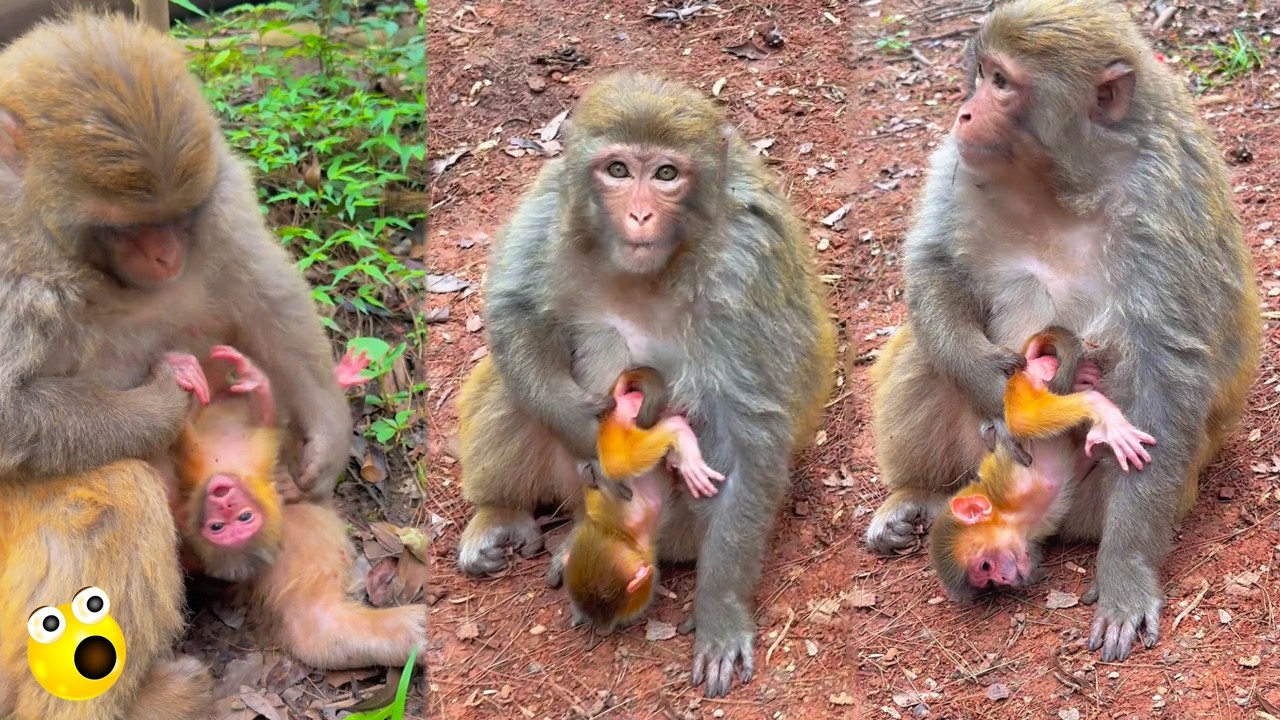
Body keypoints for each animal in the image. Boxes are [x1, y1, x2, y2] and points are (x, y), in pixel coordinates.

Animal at [0, 13, 354, 719]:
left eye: (176, 218)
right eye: (122, 228)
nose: (166, 256)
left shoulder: (219, 197)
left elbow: (263, 289)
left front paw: (329, 432)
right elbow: (7, 408)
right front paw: (165, 398)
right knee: (114, 493)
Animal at [453, 72, 837, 697]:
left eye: (665, 175)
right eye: (617, 170)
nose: (637, 215)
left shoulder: (746, 267)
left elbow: (750, 426)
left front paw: (720, 609)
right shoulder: (549, 207)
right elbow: (515, 313)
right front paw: (586, 427)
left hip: (680, 529)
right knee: (514, 387)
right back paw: (502, 513)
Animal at [930, 327, 1156, 600]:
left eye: (985, 566)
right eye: (987, 581)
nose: (1003, 579)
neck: (1016, 517)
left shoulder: (1014, 487)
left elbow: (1022, 421)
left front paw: (1100, 410)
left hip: (1021, 383)